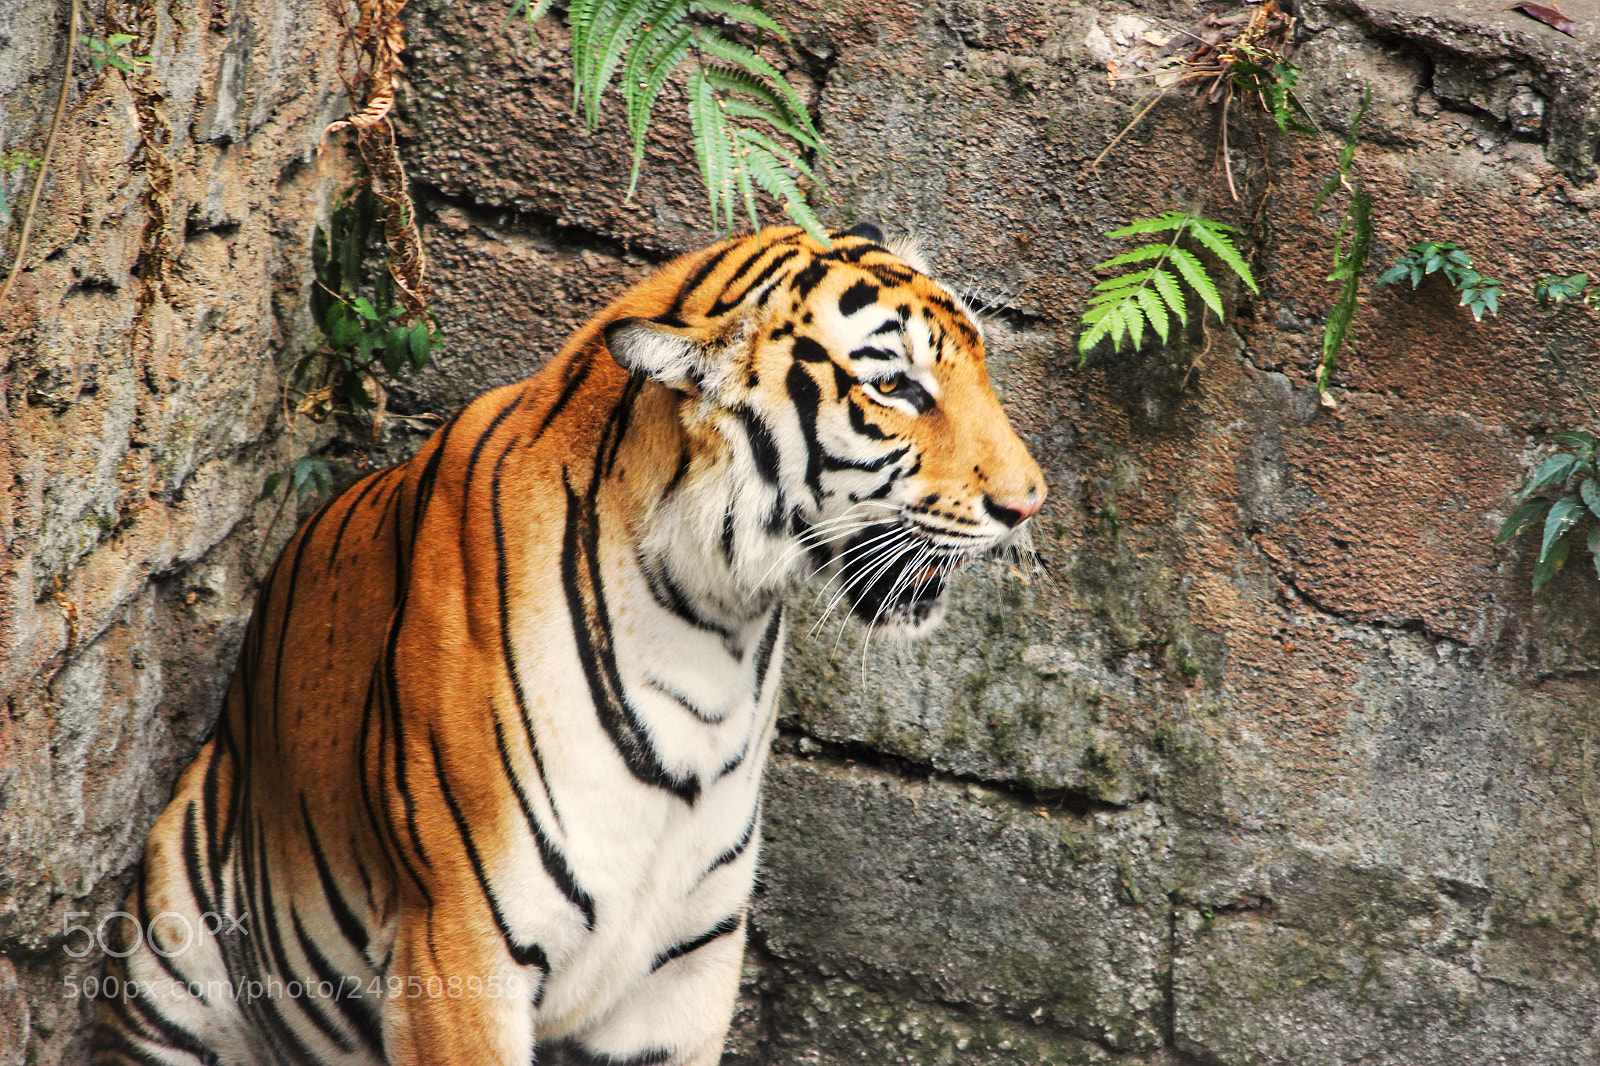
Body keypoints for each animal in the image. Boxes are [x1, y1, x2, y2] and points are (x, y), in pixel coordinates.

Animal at [92, 222, 1045, 1066]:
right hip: (171, 931)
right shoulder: (458, 947)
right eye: (899, 389)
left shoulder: (686, 968)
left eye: (981, 362)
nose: (1030, 503)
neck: (715, 630)